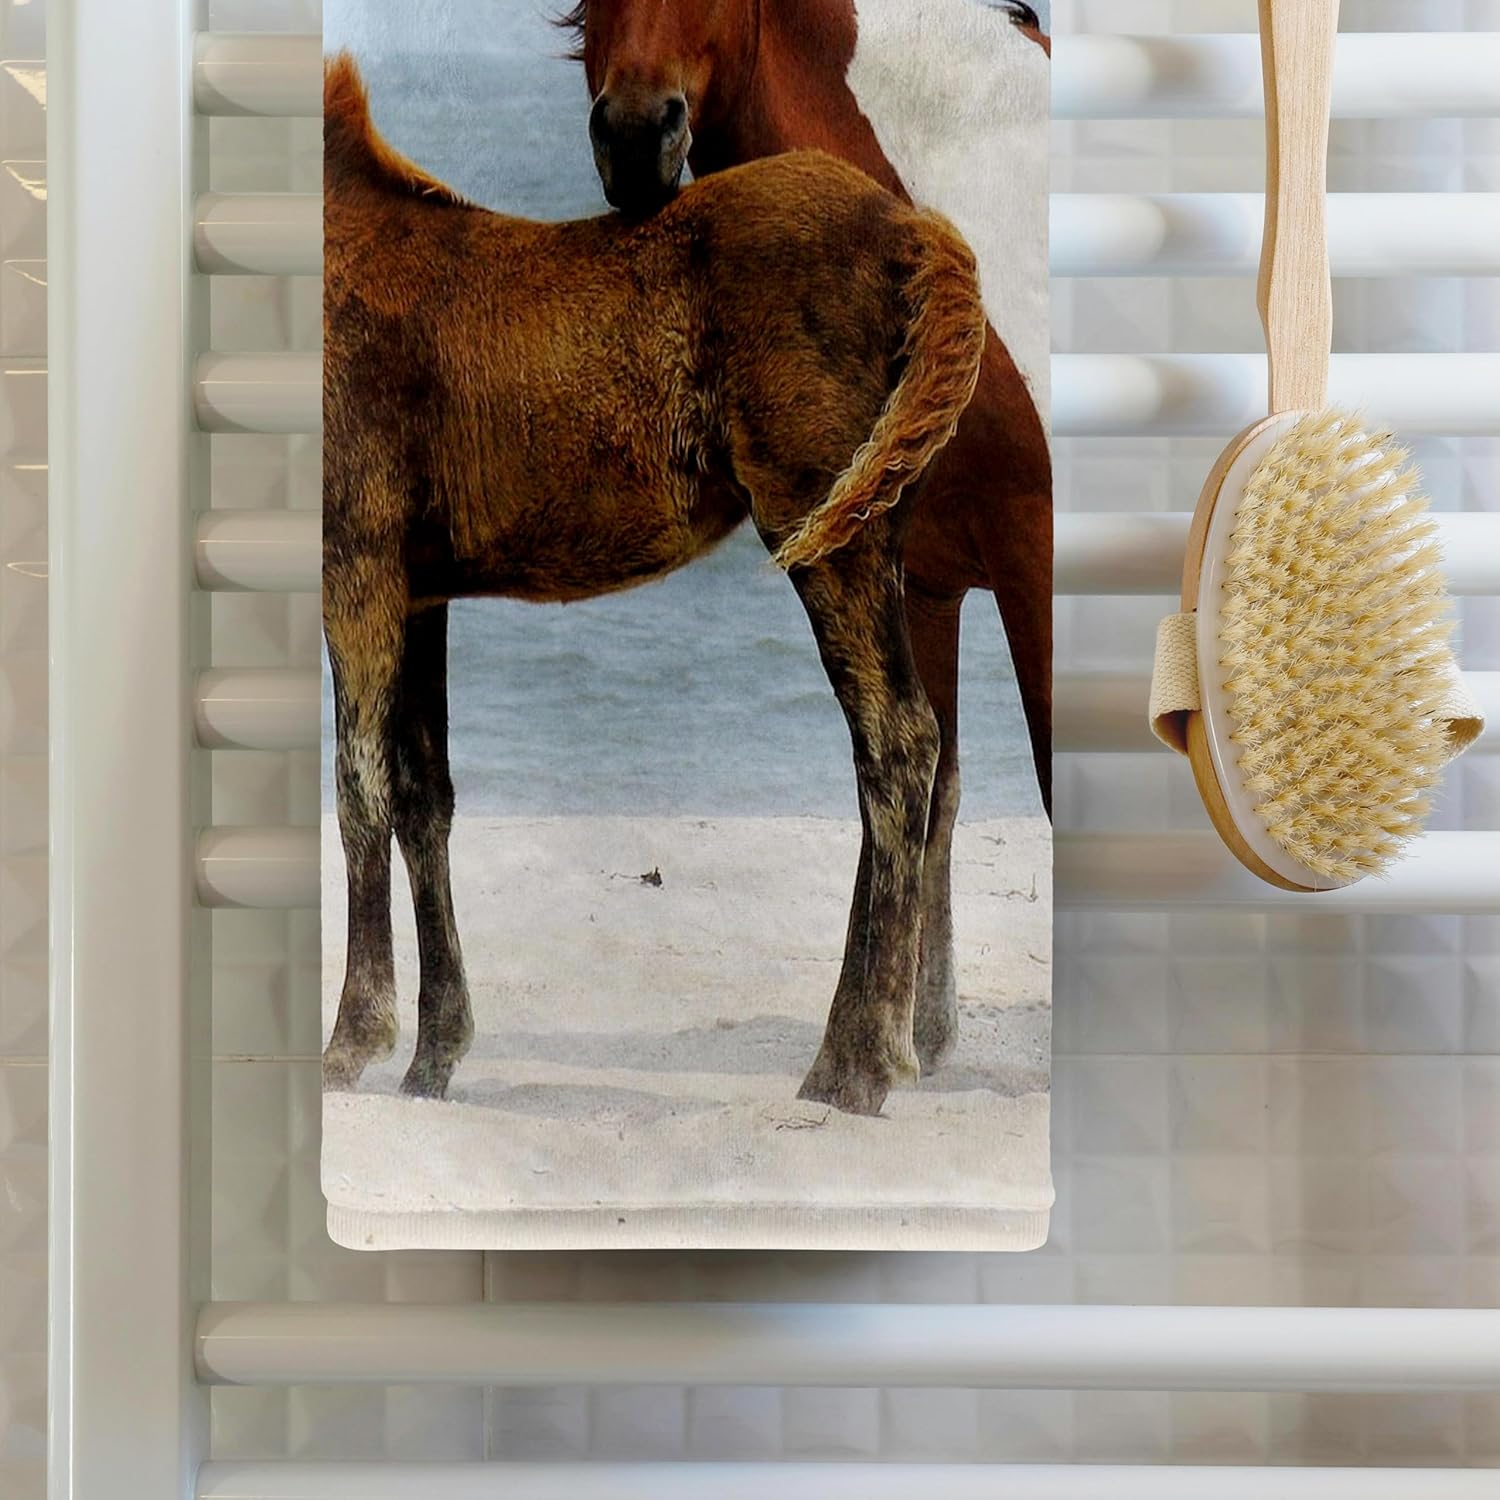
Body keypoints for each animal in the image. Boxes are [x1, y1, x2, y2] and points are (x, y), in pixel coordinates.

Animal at [321, 54, 988, 1115]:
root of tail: (913, 230)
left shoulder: (355, 568)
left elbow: (360, 787)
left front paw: (352, 1042)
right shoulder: (418, 593)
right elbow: (426, 795)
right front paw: (433, 1057)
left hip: (825, 536)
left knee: (899, 741)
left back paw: (861, 1064)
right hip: (872, 530)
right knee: (900, 750)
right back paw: (849, 1054)